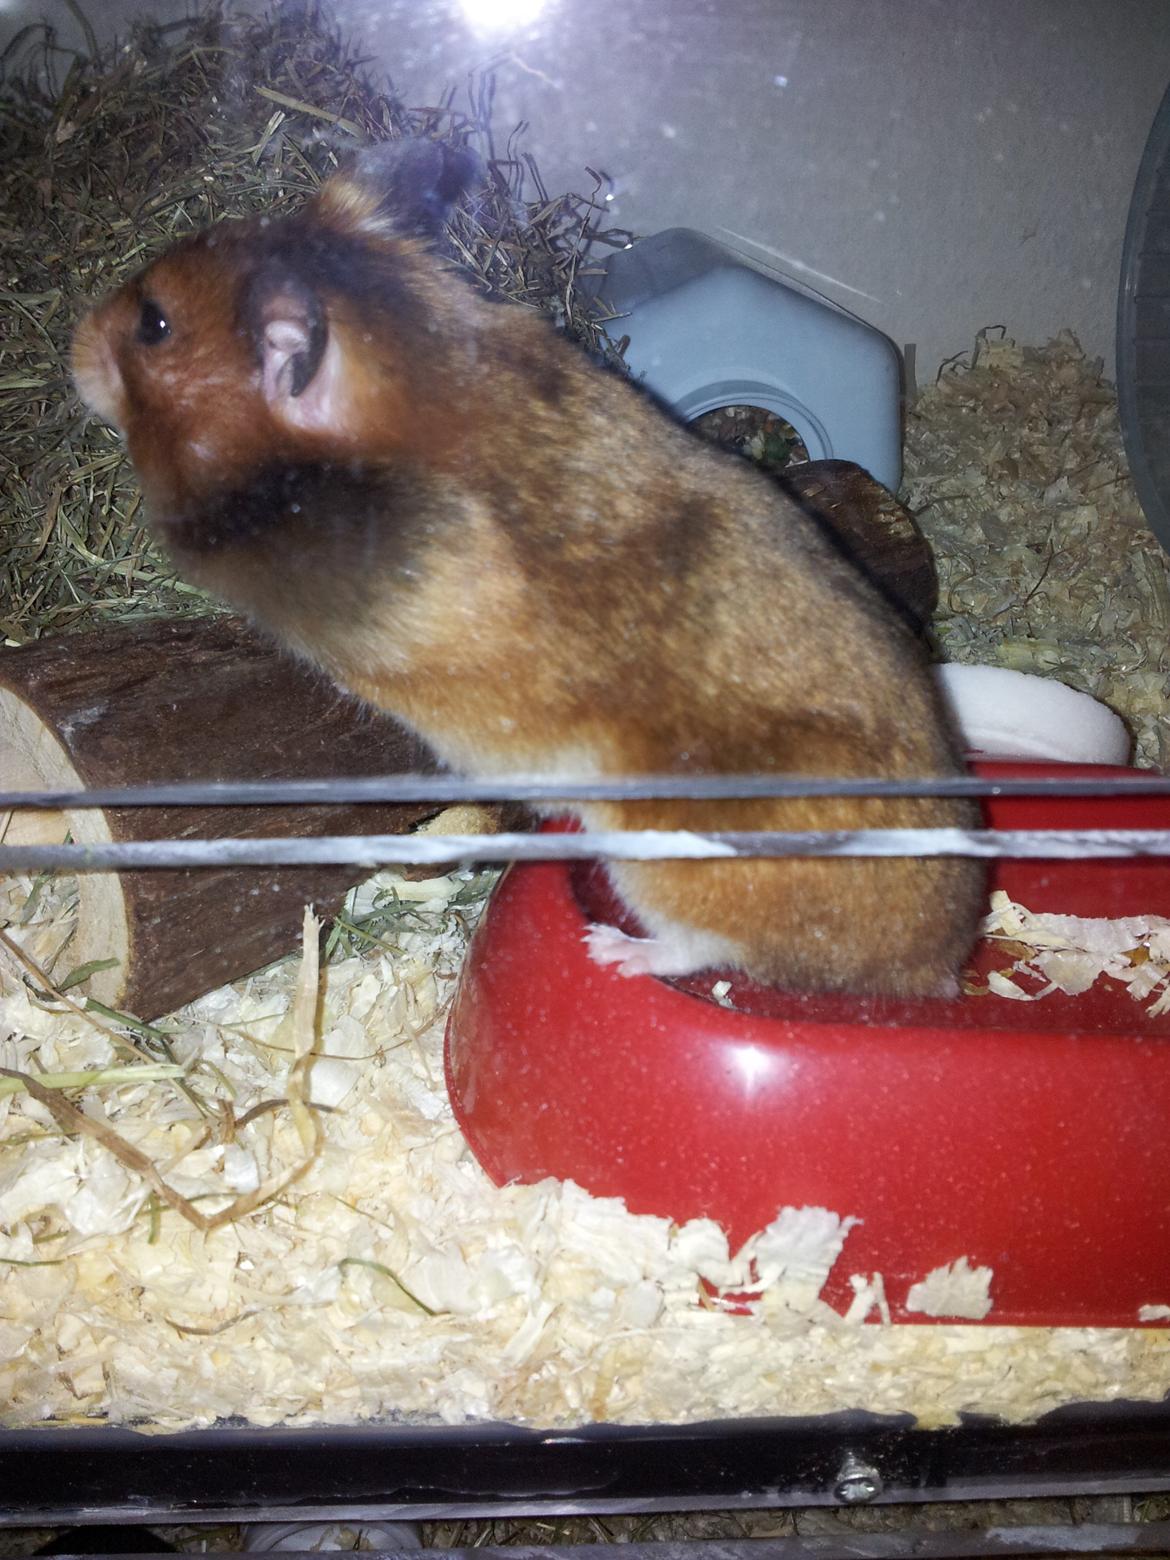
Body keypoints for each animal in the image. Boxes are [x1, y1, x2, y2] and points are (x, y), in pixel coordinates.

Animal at [72, 136, 987, 997]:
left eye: (153, 325)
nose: (74, 344)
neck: (425, 379)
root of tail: (936, 966)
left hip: (662, 855)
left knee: (707, 945)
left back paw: (612, 949)